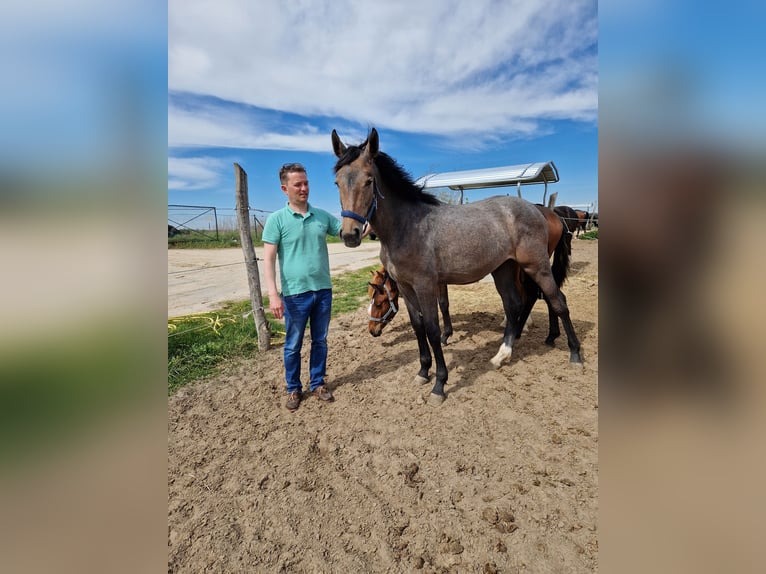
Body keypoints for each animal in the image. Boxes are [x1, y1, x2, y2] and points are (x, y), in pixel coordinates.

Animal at [332, 128, 584, 404]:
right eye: (337, 182)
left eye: (369, 181)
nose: (350, 235)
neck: (408, 228)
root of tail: (542, 212)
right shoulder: (406, 287)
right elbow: (418, 327)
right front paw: (423, 372)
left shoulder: (426, 285)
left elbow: (432, 330)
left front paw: (439, 384)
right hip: (504, 269)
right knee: (514, 304)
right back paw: (502, 354)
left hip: (536, 266)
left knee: (557, 300)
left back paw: (574, 354)